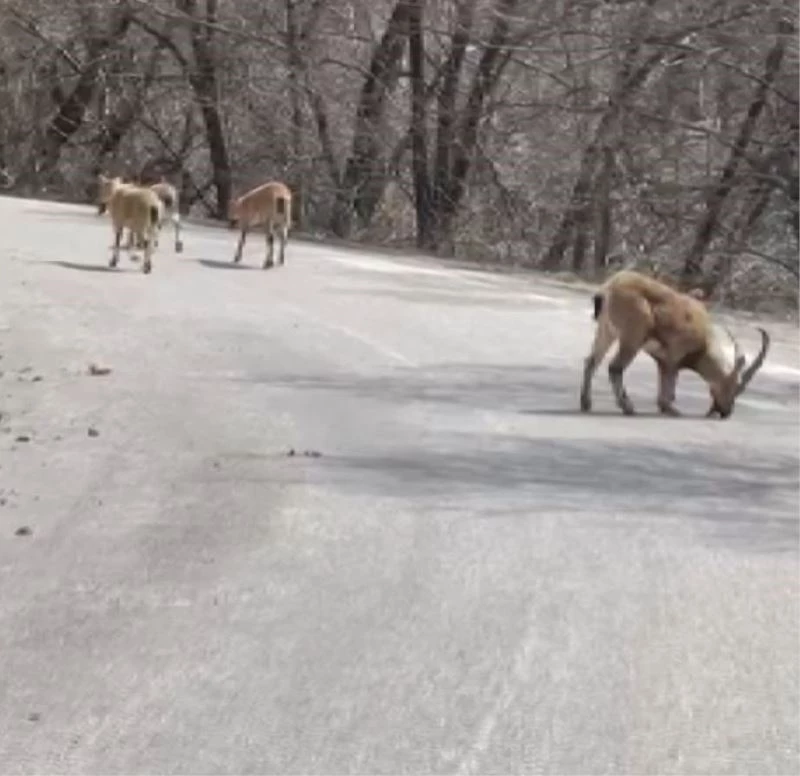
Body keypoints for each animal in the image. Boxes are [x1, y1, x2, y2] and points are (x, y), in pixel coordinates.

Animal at [580, 272, 772, 418]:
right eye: (735, 385)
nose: (725, 412)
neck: (703, 343)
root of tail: (609, 289)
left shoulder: (662, 359)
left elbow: (666, 381)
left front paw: (665, 407)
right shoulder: (673, 355)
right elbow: (670, 383)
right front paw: (670, 409)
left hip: (607, 330)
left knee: (591, 361)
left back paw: (586, 403)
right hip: (632, 337)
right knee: (615, 367)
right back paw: (627, 407)